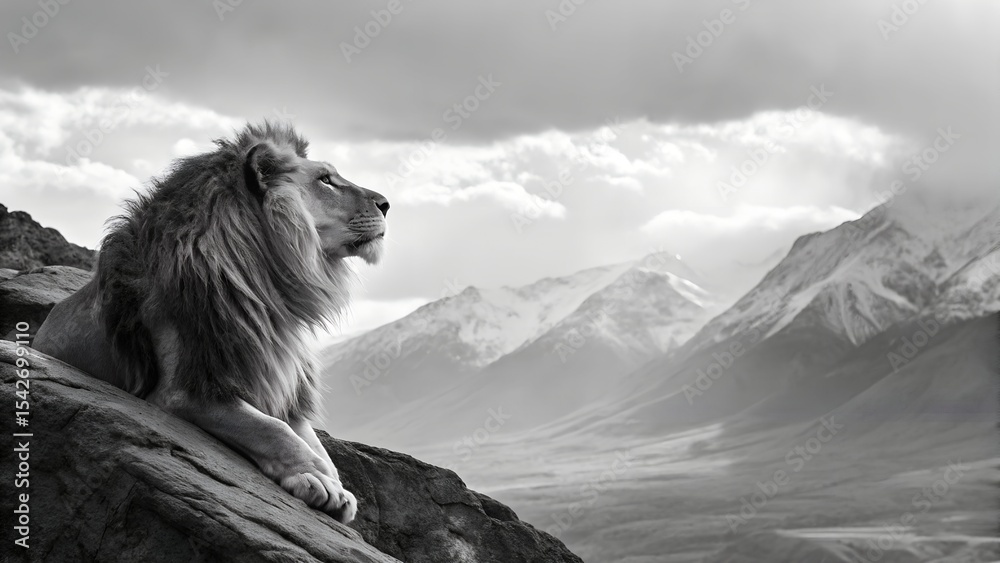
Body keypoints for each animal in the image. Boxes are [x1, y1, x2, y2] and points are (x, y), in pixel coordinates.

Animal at [32, 122, 389, 524]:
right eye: (326, 179)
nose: (387, 204)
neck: (269, 291)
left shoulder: (278, 385)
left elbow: (313, 443)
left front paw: (333, 482)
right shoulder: (185, 391)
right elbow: (273, 429)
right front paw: (314, 479)